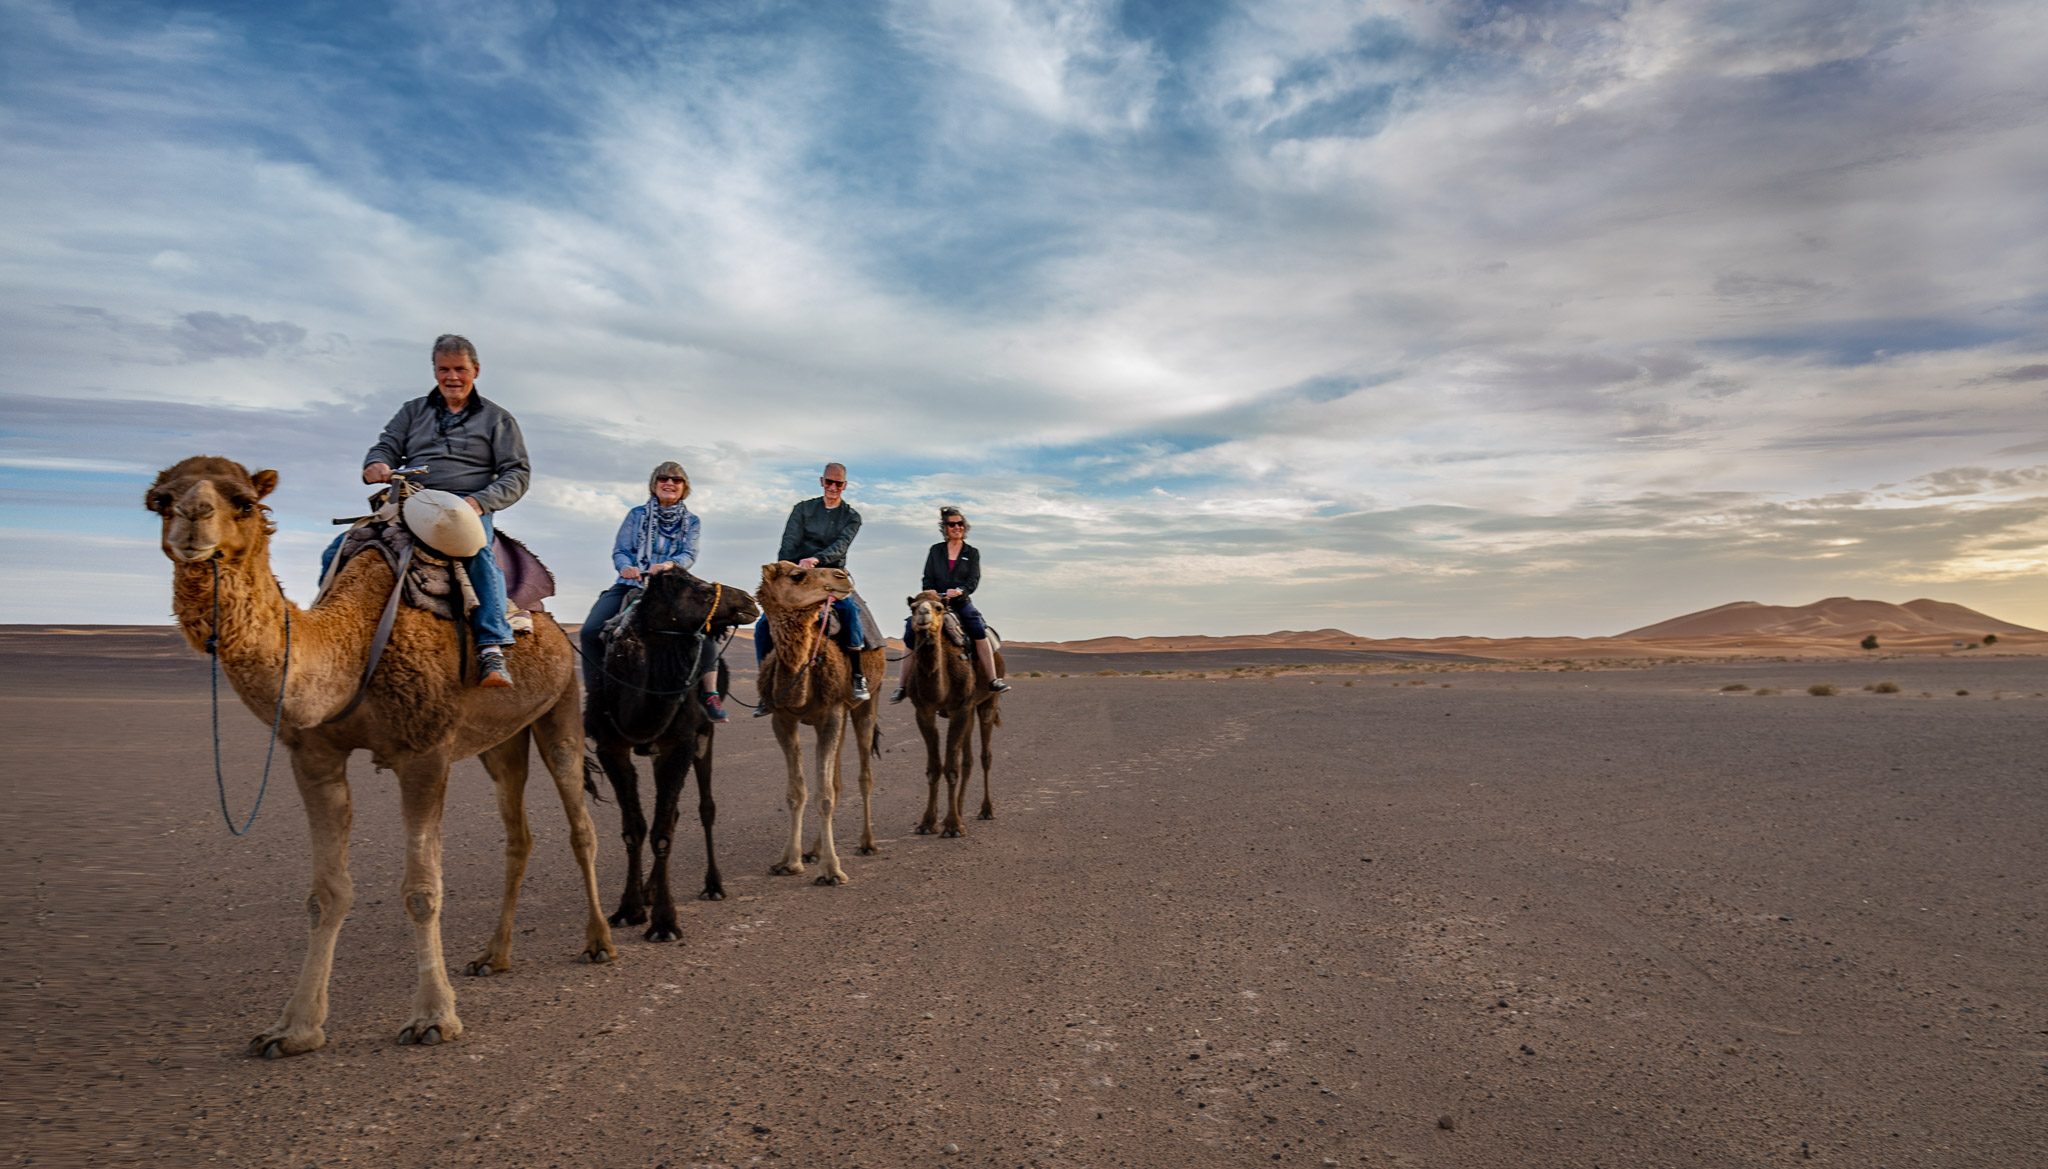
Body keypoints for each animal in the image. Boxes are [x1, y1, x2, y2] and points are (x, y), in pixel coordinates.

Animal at [146, 460, 614, 1064]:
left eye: (243, 502)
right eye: (159, 500)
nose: (192, 520)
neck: (349, 641)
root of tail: (554, 621)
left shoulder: (425, 752)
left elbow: (421, 889)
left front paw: (433, 1018)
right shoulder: (314, 756)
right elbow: (326, 894)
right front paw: (292, 1029)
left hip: (560, 708)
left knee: (580, 825)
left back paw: (599, 942)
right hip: (499, 742)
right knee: (518, 834)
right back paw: (493, 955)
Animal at [753, 560, 880, 884]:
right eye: (797, 575)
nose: (841, 576)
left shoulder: (831, 713)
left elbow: (824, 795)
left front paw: (832, 870)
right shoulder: (782, 720)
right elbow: (797, 792)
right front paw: (789, 861)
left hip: (867, 703)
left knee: (864, 775)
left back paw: (867, 843)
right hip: (843, 716)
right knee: (837, 780)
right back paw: (813, 851)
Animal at [909, 589, 1003, 835]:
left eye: (939, 608)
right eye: (913, 607)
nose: (923, 615)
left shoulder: (961, 708)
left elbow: (951, 768)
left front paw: (952, 826)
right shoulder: (924, 711)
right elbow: (934, 768)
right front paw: (928, 823)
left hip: (987, 702)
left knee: (985, 756)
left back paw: (986, 811)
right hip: (967, 712)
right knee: (967, 760)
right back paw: (959, 810)